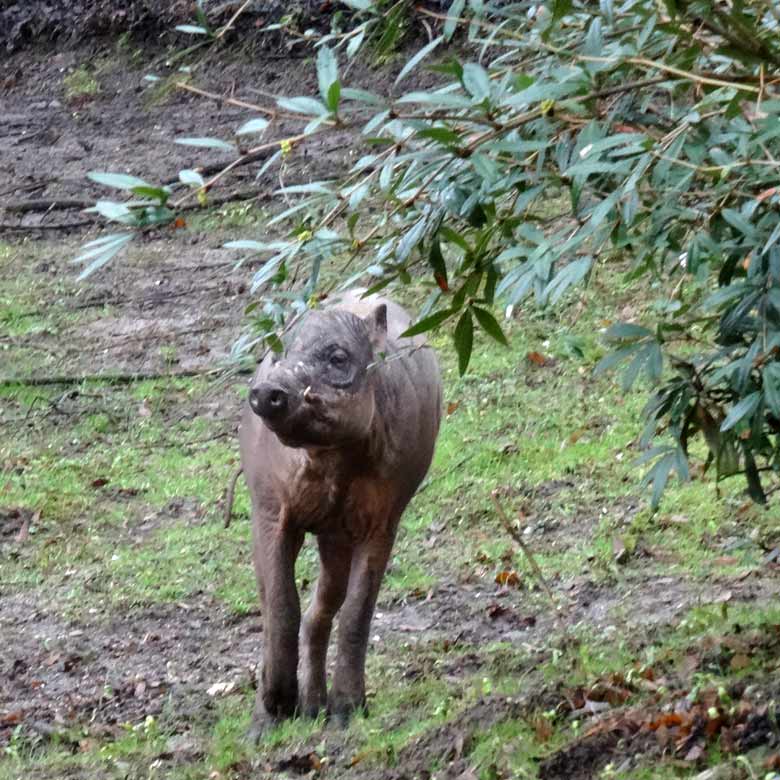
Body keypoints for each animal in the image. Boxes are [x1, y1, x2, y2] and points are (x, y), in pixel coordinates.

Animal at [239, 288, 438, 736]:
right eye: (280, 351)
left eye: (338, 357)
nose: (267, 391)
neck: (330, 460)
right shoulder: (269, 508)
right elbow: (280, 605)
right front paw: (271, 715)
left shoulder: (383, 519)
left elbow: (355, 613)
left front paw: (346, 712)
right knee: (297, 608)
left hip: (337, 537)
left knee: (321, 611)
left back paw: (316, 708)